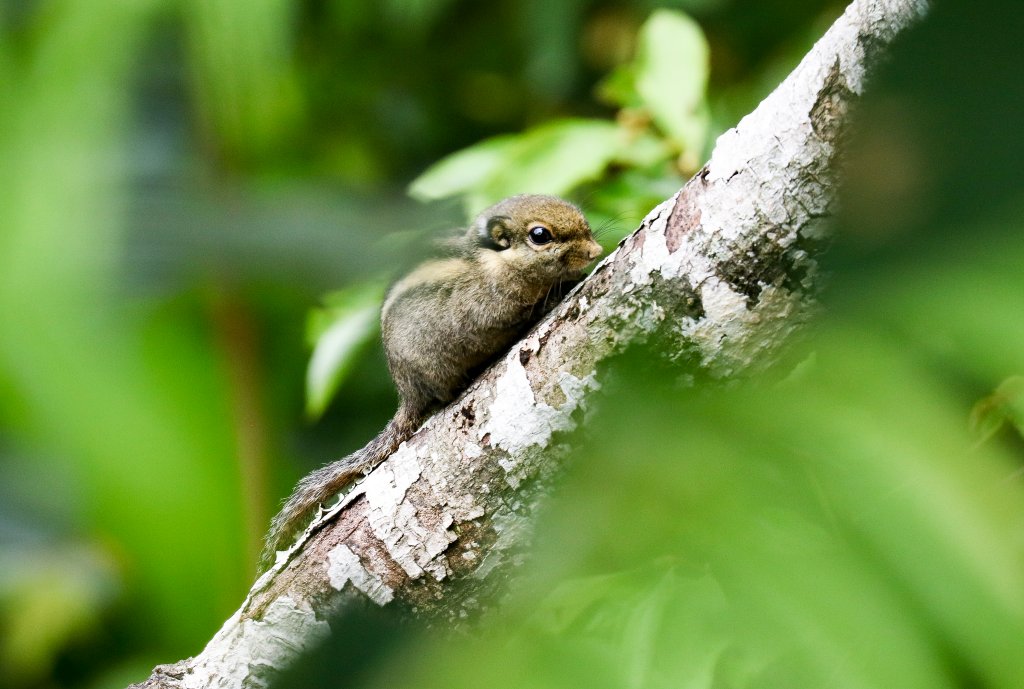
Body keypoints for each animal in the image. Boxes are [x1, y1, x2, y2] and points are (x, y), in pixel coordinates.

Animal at [261, 194, 602, 568]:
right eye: (540, 235)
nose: (595, 250)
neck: (495, 262)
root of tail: (408, 393)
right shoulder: (491, 310)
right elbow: (520, 314)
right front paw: (556, 293)